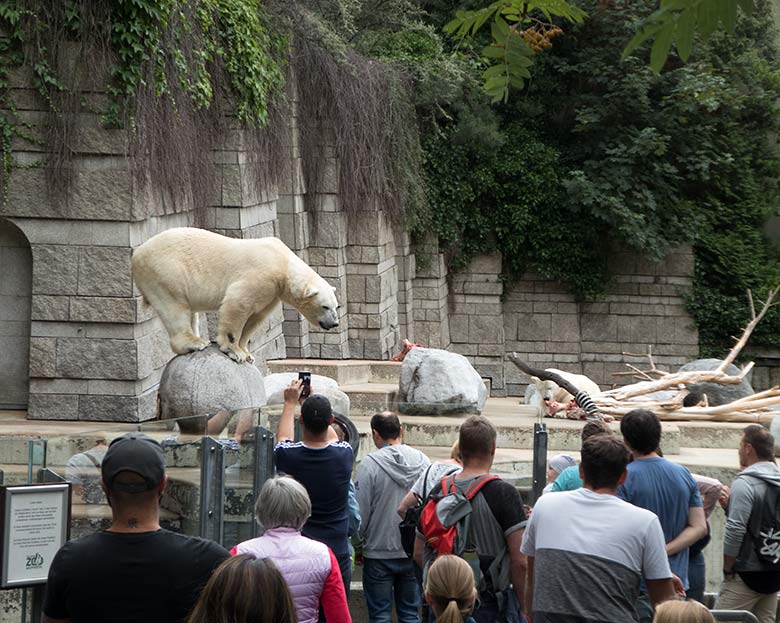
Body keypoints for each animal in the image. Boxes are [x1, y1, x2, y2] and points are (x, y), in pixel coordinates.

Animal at [132, 229, 338, 366]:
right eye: (325, 307)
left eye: (337, 306)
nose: (334, 323)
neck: (283, 263)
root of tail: (137, 254)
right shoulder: (261, 274)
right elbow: (237, 304)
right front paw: (235, 351)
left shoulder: (272, 293)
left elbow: (256, 318)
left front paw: (247, 352)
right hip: (166, 272)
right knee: (175, 308)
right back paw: (195, 343)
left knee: (190, 313)